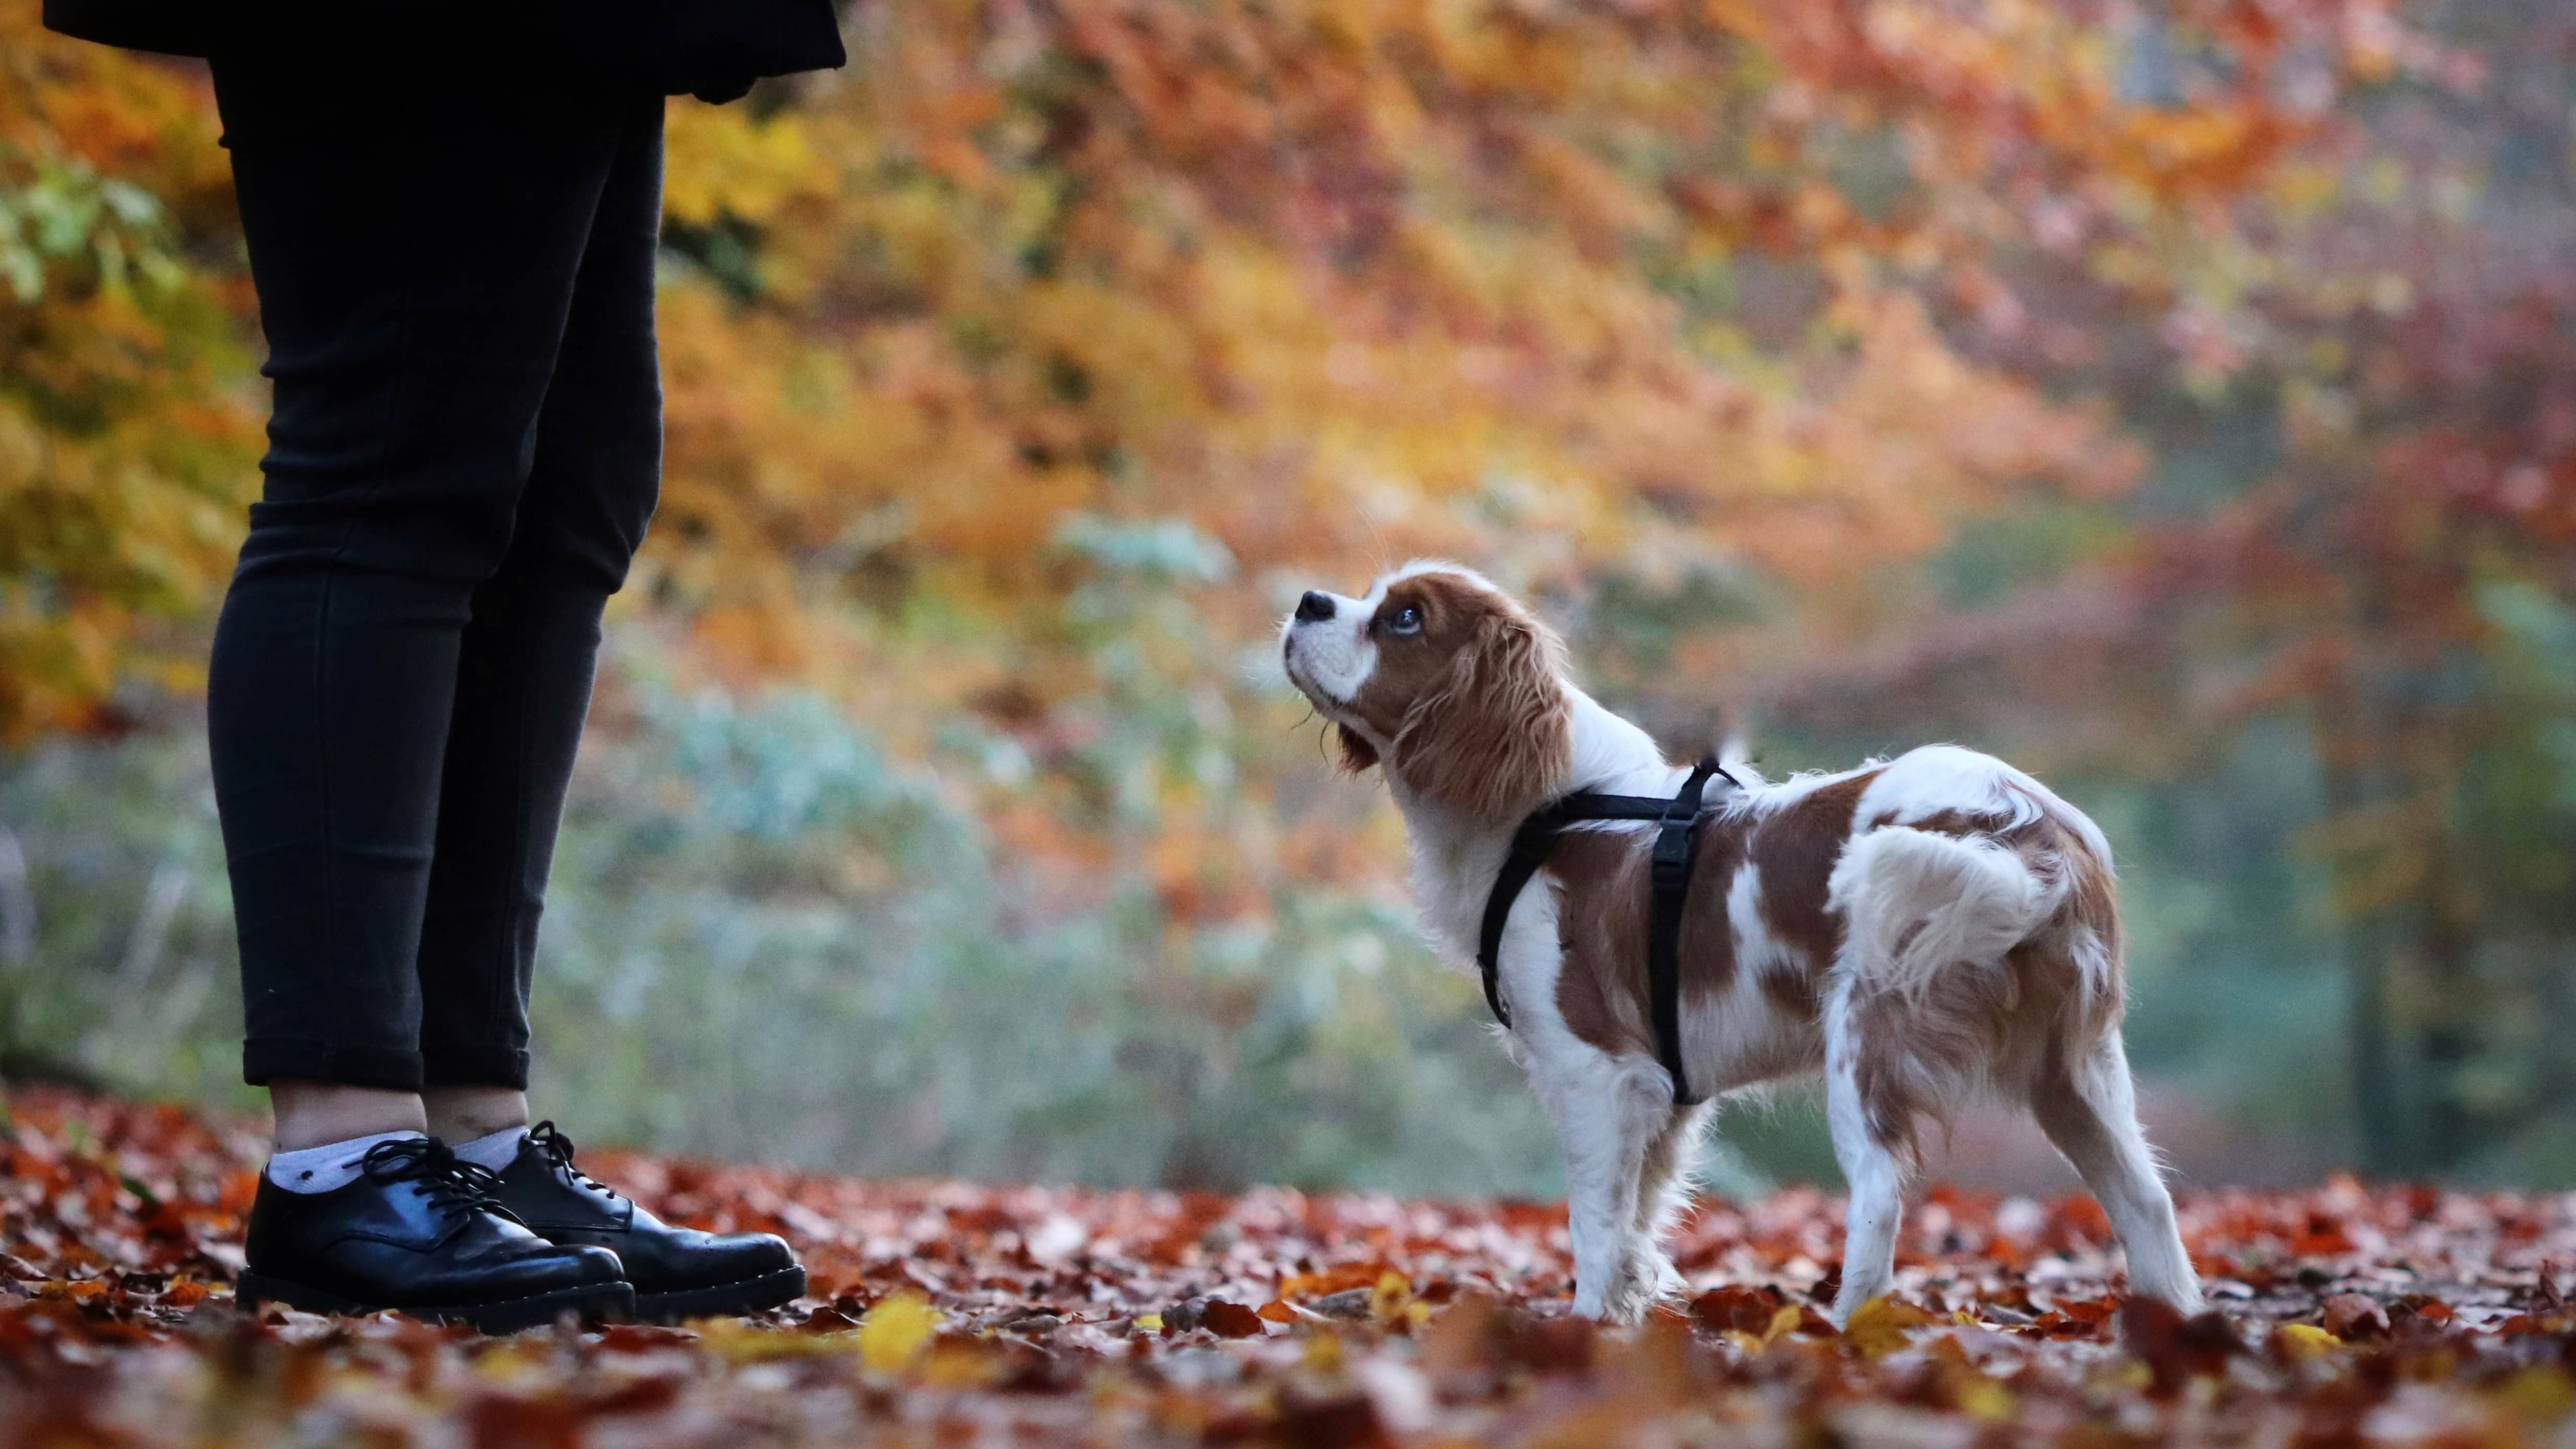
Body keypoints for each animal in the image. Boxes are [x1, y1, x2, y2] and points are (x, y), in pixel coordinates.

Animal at [1278, 562, 2205, 1320]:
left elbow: (1594, 1227)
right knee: (2147, 1201)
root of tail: (2027, 829)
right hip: (2076, 1070)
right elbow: (1637, 1230)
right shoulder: (1664, 1095)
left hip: (1868, 1041)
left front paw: (1582, 1331)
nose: (1308, 599)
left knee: (1881, 1195)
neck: (1551, 810)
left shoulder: (1597, 1072)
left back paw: (1846, 1332)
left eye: (1405, 619)